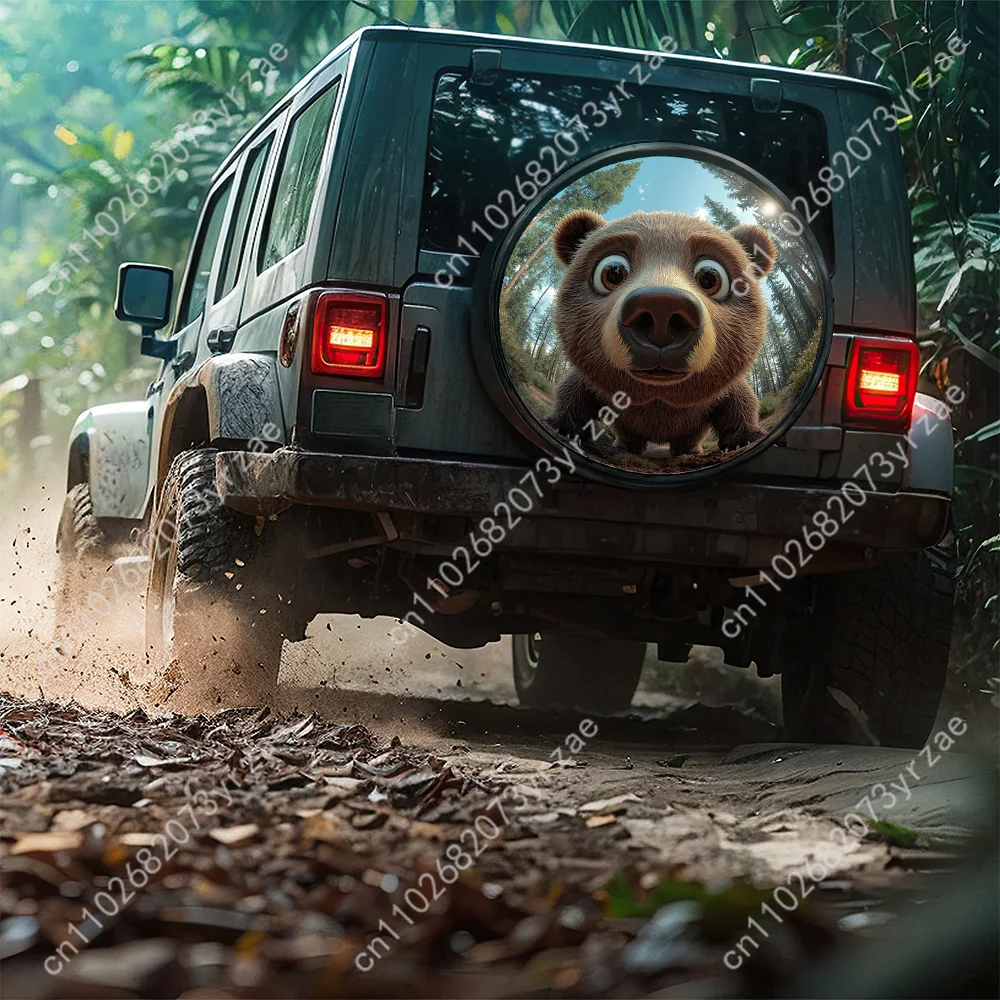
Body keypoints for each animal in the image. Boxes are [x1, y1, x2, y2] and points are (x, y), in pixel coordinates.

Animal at [545, 209, 776, 458]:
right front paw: (562, 427)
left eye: (710, 277)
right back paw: (627, 445)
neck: (658, 398)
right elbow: (573, 391)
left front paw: (744, 439)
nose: (661, 309)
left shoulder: (719, 393)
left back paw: (688, 450)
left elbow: (741, 400)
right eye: (612, 272)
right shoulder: (594, 383)